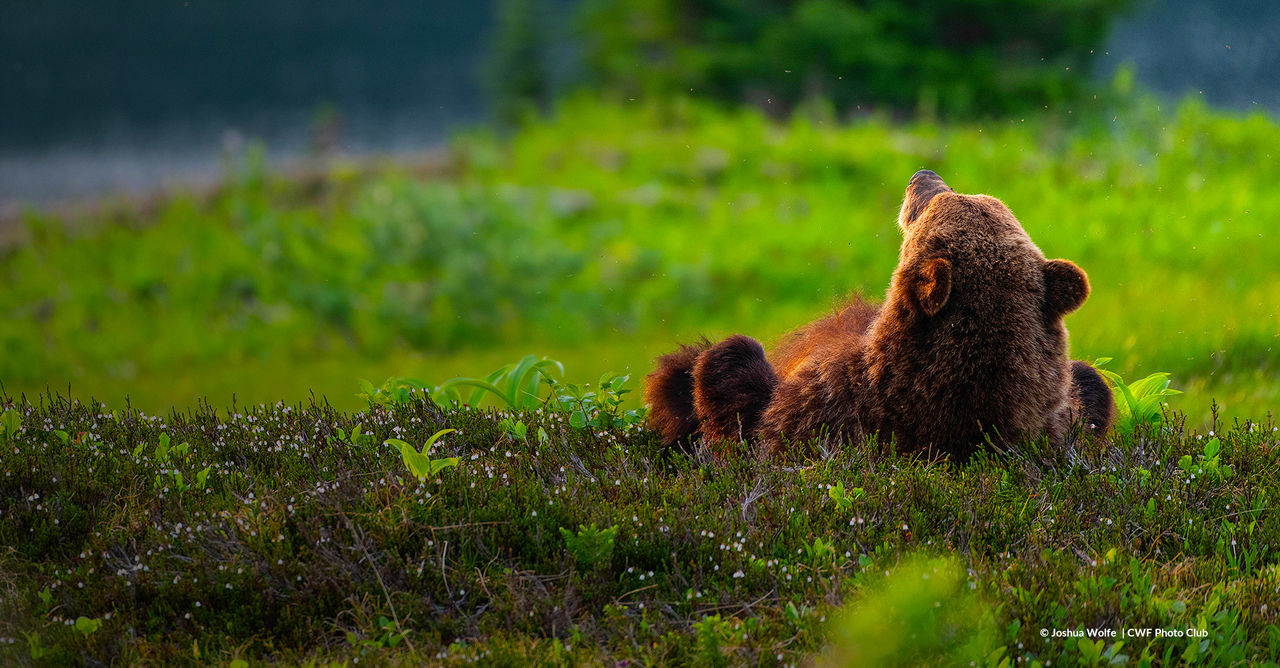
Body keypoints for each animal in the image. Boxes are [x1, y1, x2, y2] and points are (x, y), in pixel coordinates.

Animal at [644, 170, 1115, 461]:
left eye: (939, 200)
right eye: (972, 194)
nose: (922, 175)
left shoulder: (829, 413)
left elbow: (746, 411)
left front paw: (704, 367)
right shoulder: (1064, 419)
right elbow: (1091, 387)